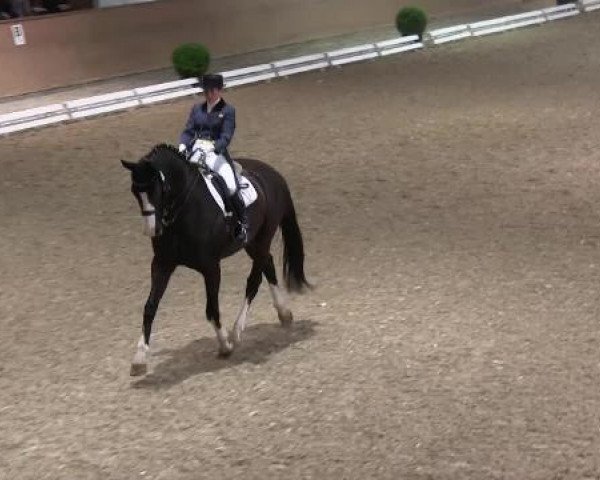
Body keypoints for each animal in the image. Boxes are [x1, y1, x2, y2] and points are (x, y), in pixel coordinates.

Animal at [121, 144, 310, 376]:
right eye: (134, 191)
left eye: (158, 190)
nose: (152, 230)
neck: (185, 211)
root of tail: (274, 174)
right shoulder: (162, 264)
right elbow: (150, 308)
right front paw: (139, 359)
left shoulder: (211, 267)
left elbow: (211, 309)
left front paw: (224, 345)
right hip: (253, 243)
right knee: (268, 264)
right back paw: (284, 313)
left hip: (261, 239)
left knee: (254, 280)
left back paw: (237, 332)